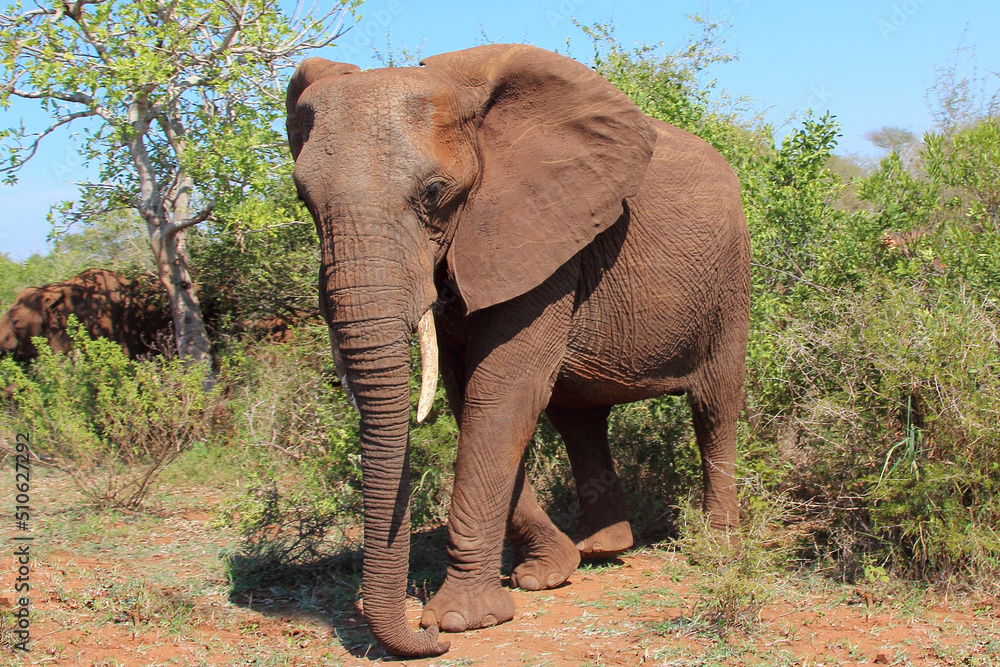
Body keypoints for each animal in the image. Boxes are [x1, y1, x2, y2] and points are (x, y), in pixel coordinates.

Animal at [286, 44, 750, 657]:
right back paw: (602, 549)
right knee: (580, 418)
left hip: (730, 278)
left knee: (715, 405)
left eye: (434, 194)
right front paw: (546, 575)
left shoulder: (536, 234)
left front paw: (460, 621)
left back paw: (716, 548)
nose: (420, 634)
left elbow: (502, 393)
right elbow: (469, 396)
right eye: (304, 199)